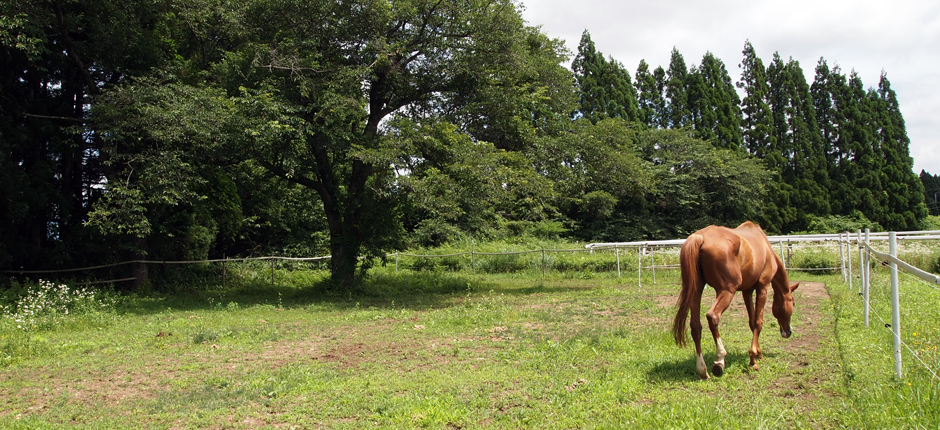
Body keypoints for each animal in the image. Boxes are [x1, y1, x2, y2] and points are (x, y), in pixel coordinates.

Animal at [672, 221, 798, 380]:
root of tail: (699, 237)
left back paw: (703, 370)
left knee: (696, 326)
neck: (766, 248)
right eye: (793, 302)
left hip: (696, 291)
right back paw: (720, 360)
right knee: (713, 316)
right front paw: (753, 360)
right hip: (727, 291)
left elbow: (752, 322)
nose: (788, 332)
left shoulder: (747, 291)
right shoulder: (763, 287)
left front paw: (758, 354)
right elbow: (758, 322)